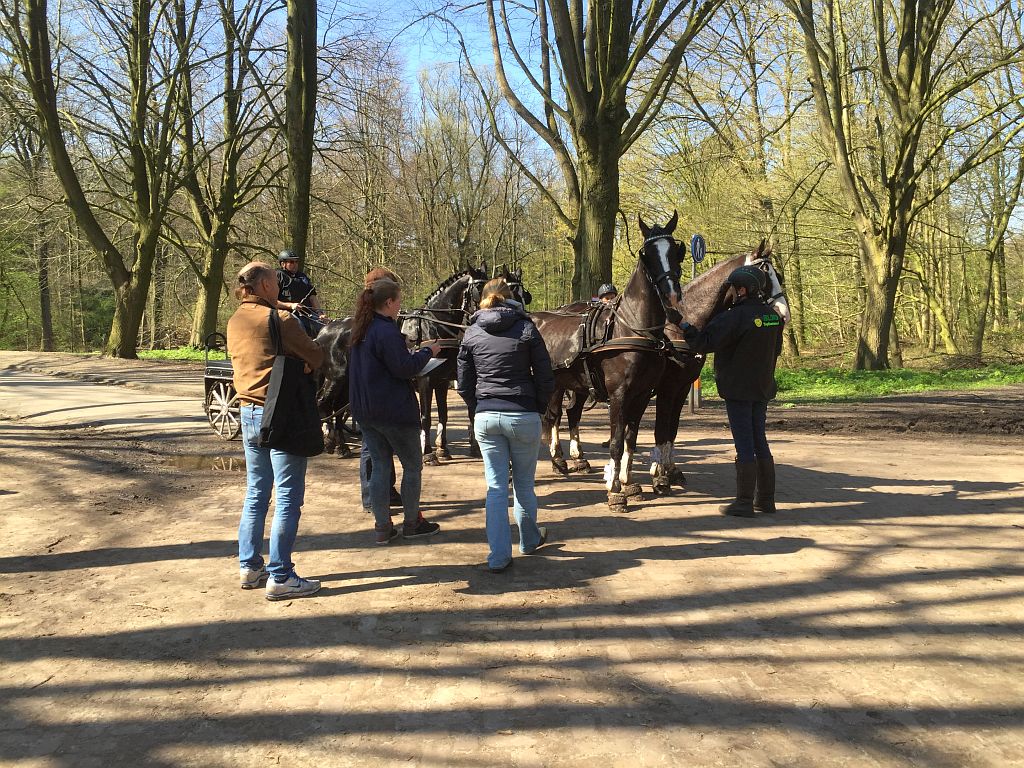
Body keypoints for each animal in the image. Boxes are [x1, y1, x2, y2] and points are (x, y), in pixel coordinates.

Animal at [532, 211, 684, 512]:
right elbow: (615, 442)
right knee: (549, 417)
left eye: (675, 250)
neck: (633, 330)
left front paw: (629, 483)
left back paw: (562, 460)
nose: (673, 296)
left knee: (559, 416)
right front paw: (614, 491)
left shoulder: (641, 395)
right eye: (647, 253)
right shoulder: (619, 395)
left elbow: (630, 439)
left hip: (567, 384)